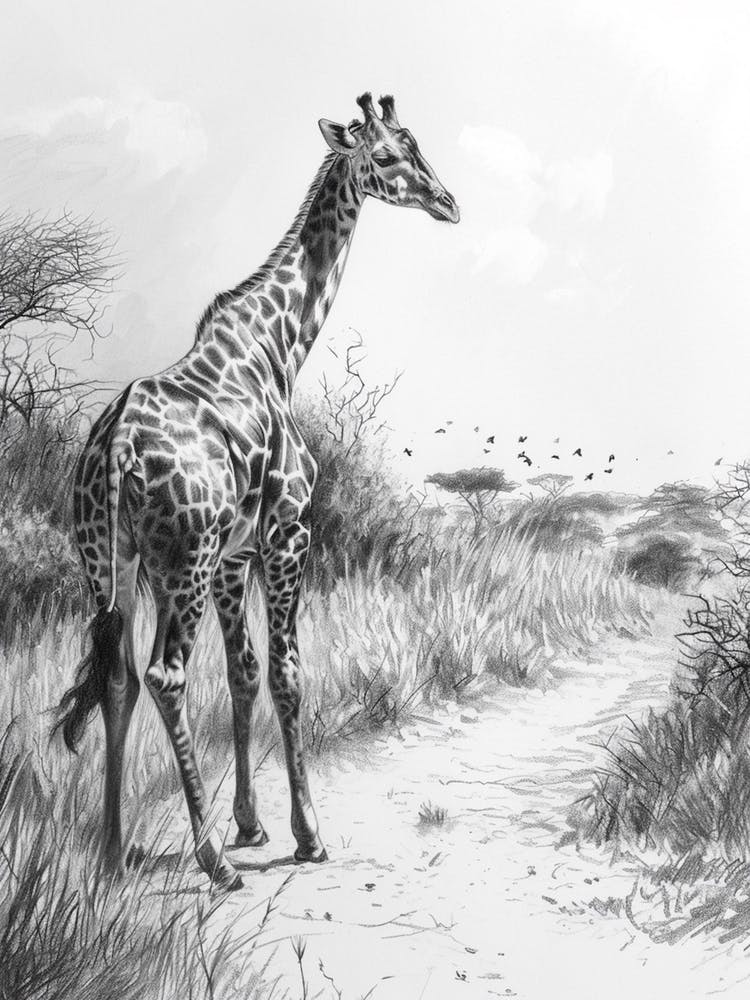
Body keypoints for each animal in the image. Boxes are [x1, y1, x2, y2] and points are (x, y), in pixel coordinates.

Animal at [55, 92, 459, 890]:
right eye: (389, 154)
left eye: (416, 145)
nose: (448, 203)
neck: (279, 348)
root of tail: (114, 447)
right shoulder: (286, 534)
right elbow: (286, 675)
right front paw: (305, 835)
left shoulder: (234, 556)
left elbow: (242, 675)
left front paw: (250, 822)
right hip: (182, 561)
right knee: (165, 674)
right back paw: (212, 862)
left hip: (110, 564)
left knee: (119, 678)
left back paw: (114, 850)